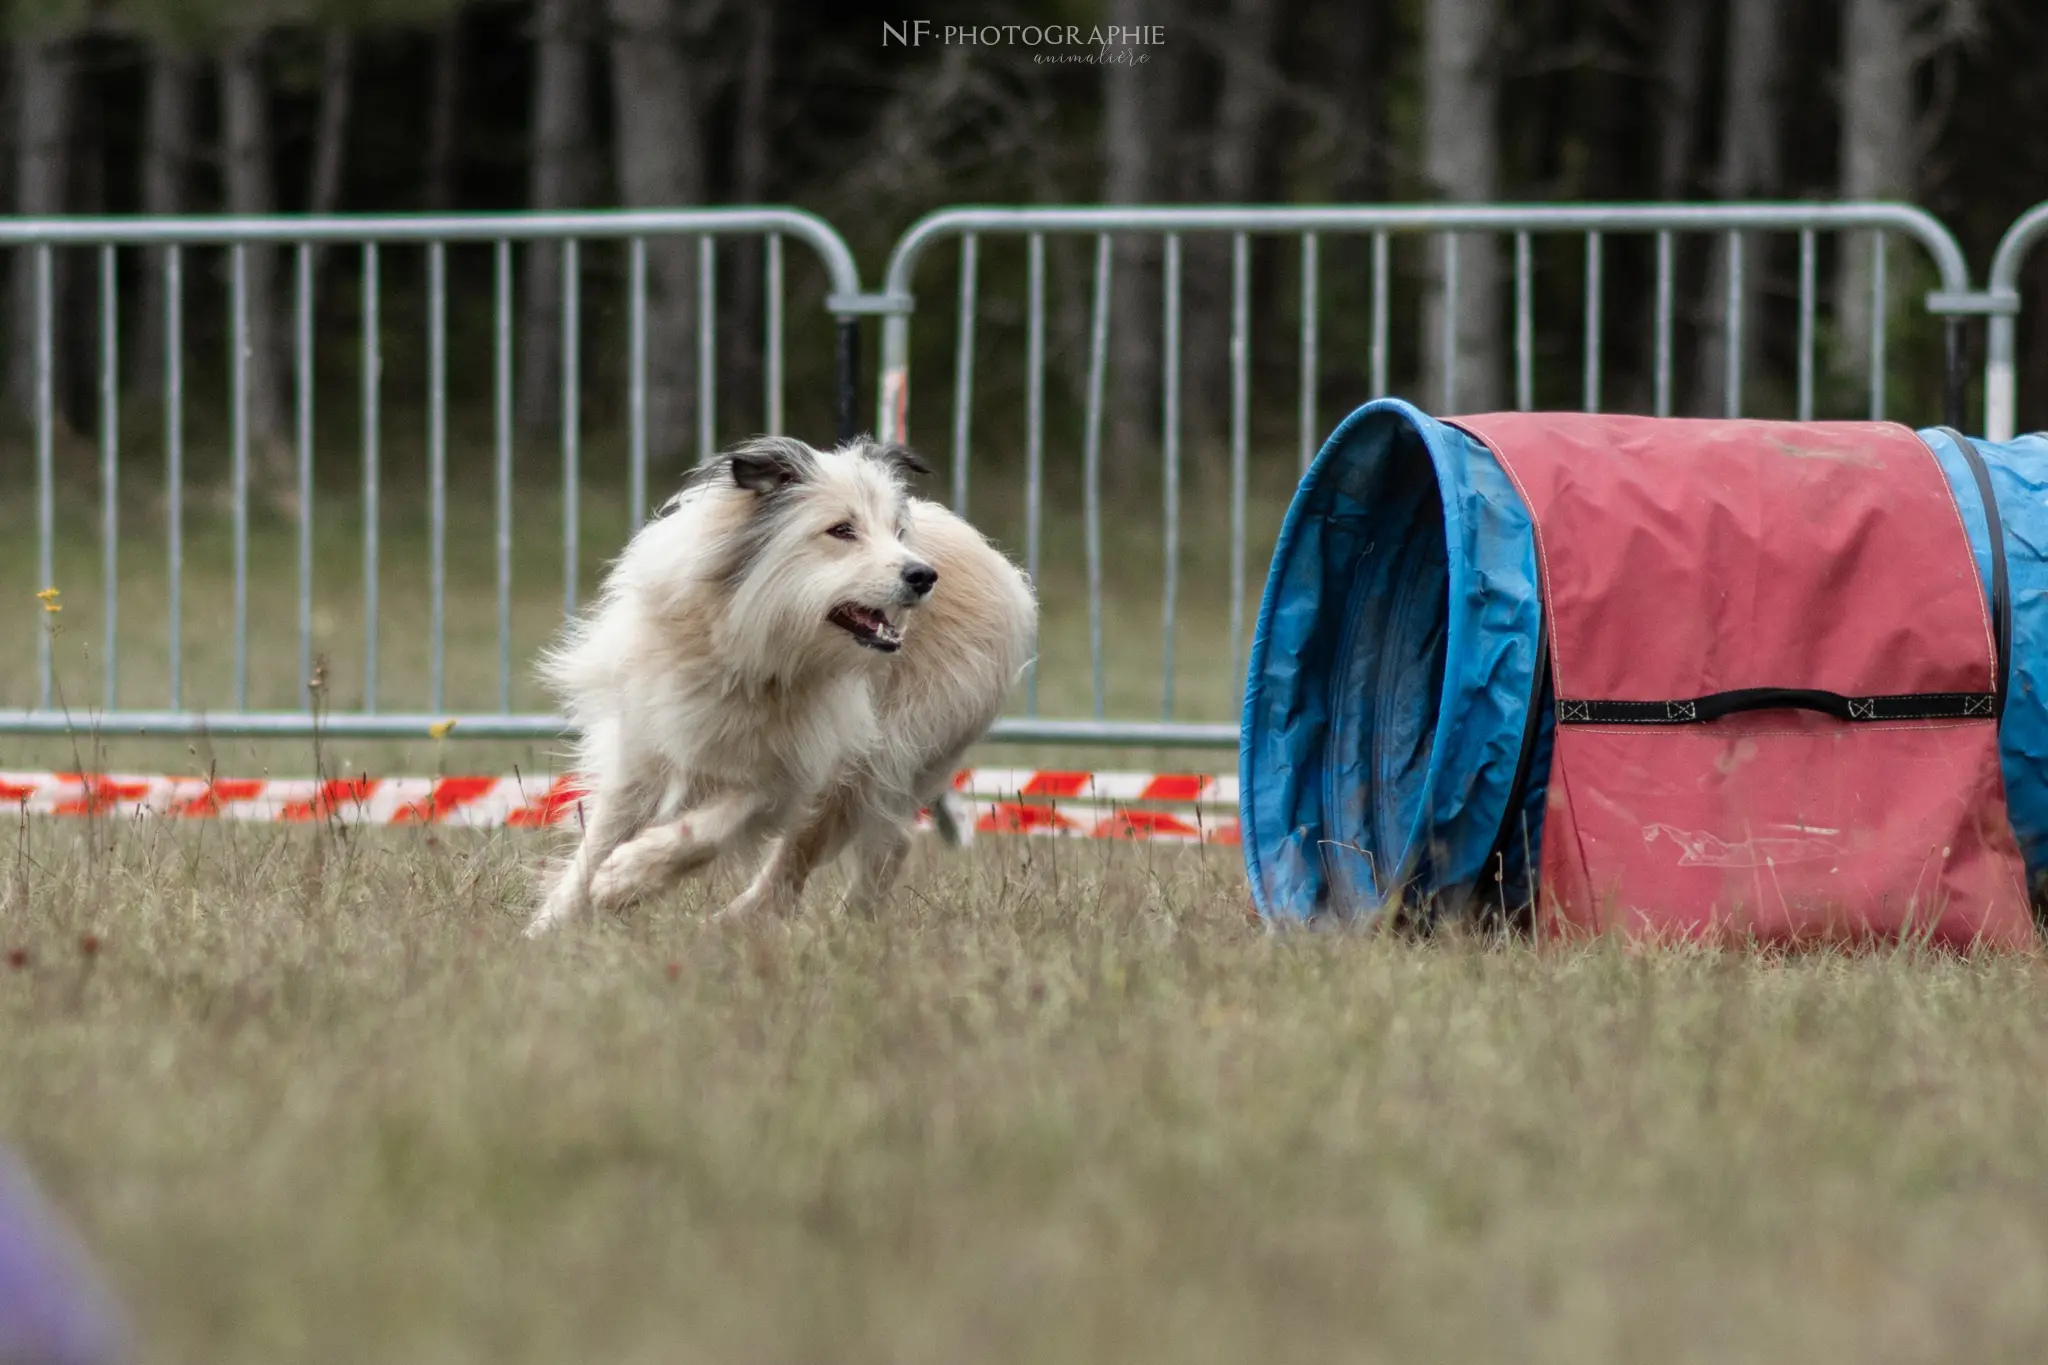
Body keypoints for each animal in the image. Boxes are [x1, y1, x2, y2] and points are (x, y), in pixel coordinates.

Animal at [524, 431, 1032, 933]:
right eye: (842, 530)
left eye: (897, 531)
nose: (924, 575)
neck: (753, 656)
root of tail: (992, 559)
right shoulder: (643, 749)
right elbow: (597, 842)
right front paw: (550, 927)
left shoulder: (789, 773)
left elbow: (706, 829)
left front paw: (627, 877)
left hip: (876, 762)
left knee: (838, 851)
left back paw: (768, 921)